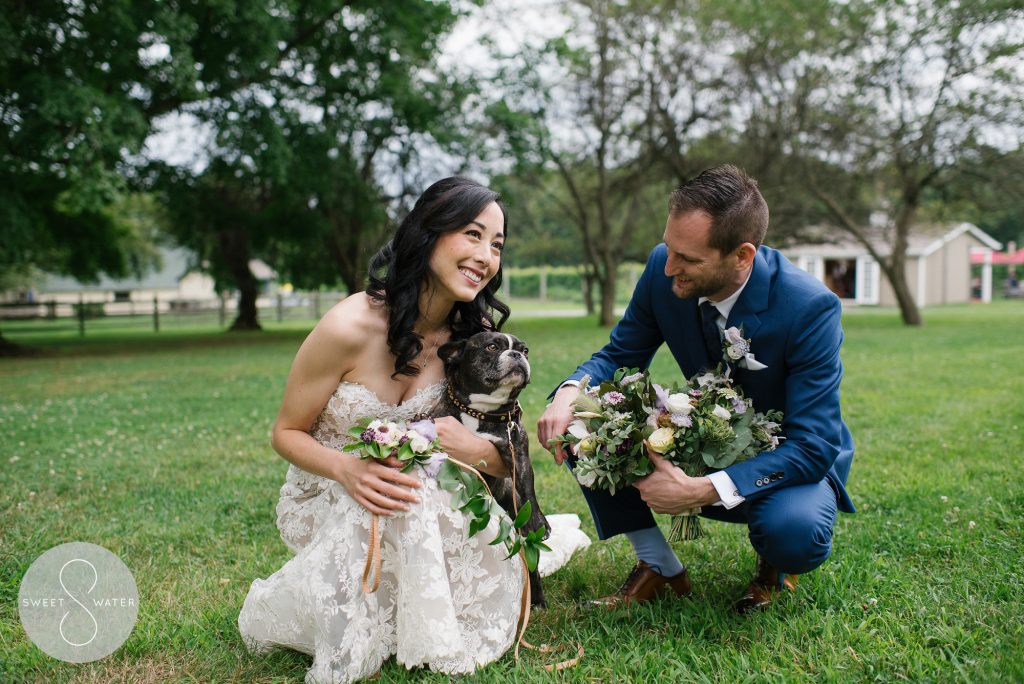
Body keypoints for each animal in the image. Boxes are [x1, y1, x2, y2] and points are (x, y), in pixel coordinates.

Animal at [432, 333, 552, 606]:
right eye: (492, 347)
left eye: (525, 350)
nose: (517, 355)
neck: (480, 411)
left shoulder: (518, 453)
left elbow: (528, 489)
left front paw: (539, 518)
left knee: (532, 566)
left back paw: (537, 601)